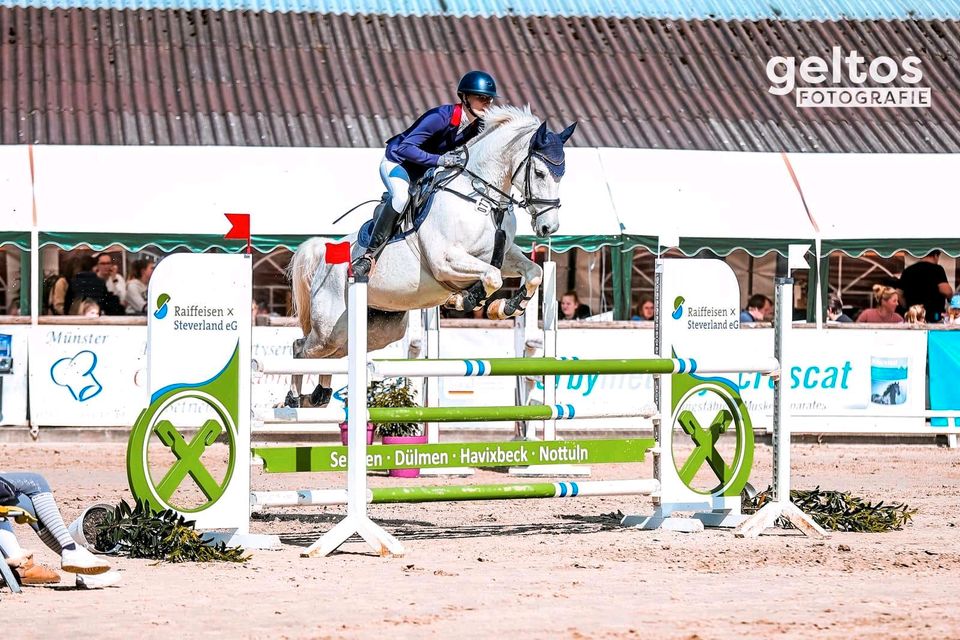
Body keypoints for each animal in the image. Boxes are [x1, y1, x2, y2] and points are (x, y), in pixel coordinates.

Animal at [282, 105, 572, 404]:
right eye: (539, 172)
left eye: (561, 174)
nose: (549, 227)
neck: (482, 197)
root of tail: (324, 253)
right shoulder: (446, 260)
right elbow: (492, 278)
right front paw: (464, 300)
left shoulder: (502, 254)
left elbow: (534, 272)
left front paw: (505, 307)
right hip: (329, 326)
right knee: (301, 347)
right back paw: (293, 397)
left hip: (374, 330)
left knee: (334, 352)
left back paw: (320, 394)